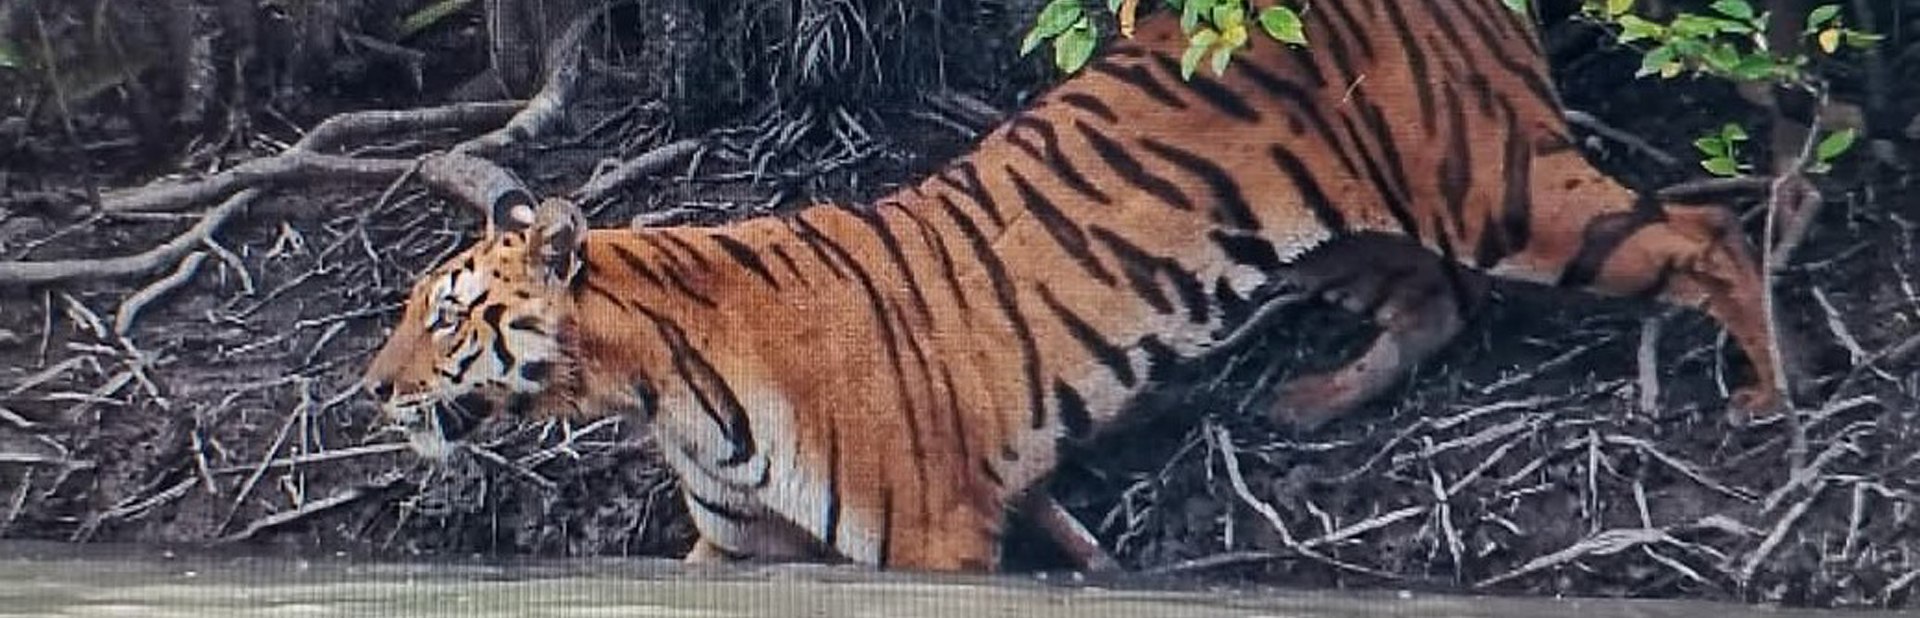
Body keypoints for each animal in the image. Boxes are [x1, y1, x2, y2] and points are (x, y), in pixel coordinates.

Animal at [362, 0, 1792, 572]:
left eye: (446, 315)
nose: (370, 389)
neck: (658, 389)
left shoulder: (933, 544)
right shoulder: (738, 547)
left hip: (1494, 182)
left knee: (1706, 236)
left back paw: (1773, 401)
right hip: (1332, 223)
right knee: (1433, 302)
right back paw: (1309, 404)